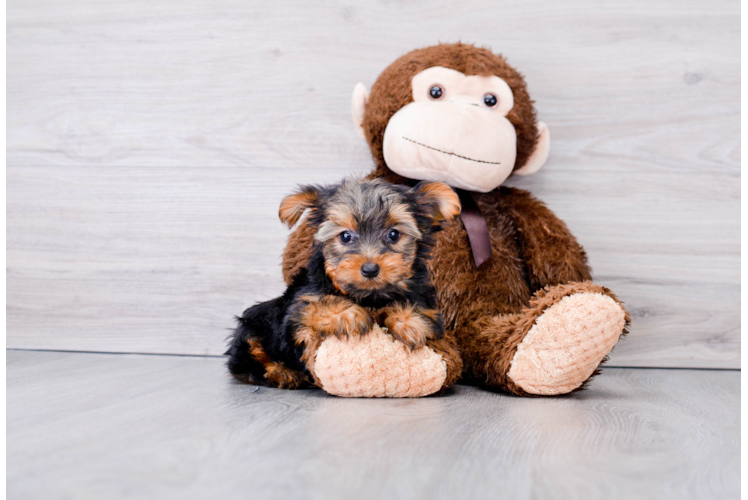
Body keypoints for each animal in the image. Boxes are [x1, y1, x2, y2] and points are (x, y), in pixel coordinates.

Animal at [228, 178, 462, 388]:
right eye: (346, 236)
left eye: (394, 234)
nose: (370, 269)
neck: (369, 296)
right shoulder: (297, 310)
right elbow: (316, 304)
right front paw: (349, 314)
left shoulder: (426, 301)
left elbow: (419, 308)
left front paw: (409, 321)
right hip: (252, 327)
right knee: (249, 357)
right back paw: (282, 372)